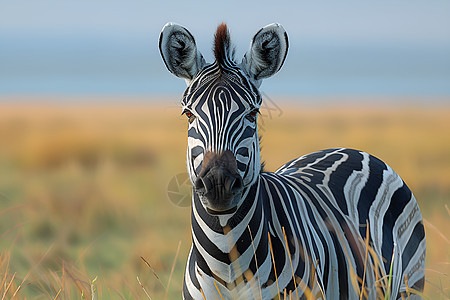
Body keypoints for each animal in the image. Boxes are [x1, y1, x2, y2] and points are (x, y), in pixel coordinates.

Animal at [158, 22, 426, 298]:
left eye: (253, 113)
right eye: (188, 114)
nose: (218, 184)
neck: (227, 260)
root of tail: (351, 149)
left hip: (410, 283)